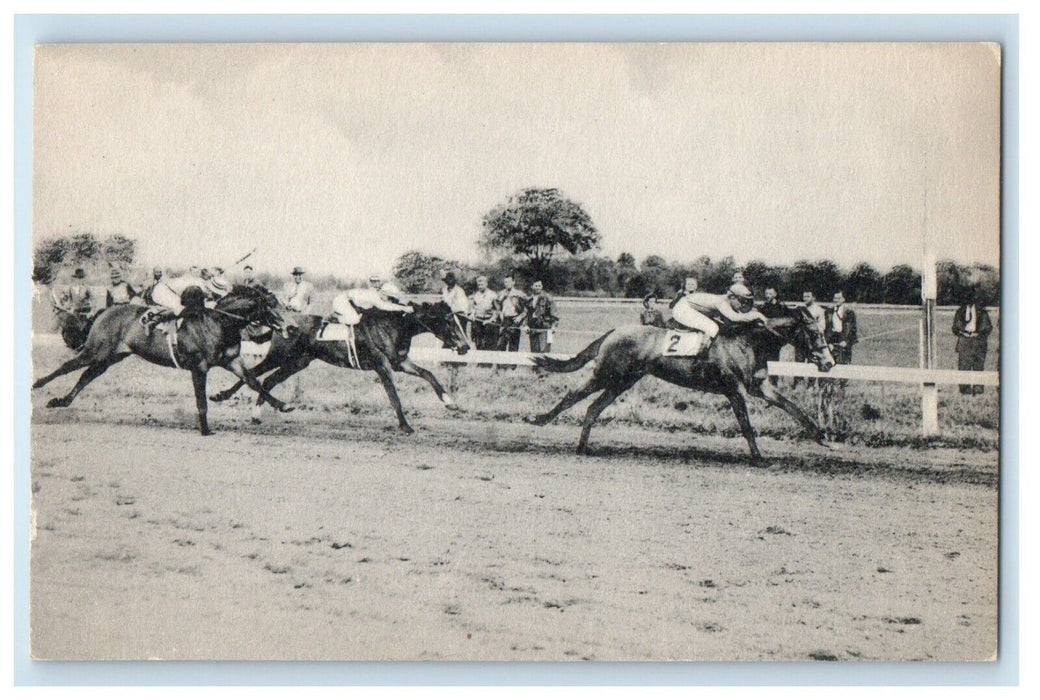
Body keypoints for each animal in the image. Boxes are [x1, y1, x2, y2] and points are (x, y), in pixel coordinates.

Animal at [33, 284, 293, 436]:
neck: (219, 323)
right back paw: (38, 385)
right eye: (269, 306)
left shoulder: (232, 361)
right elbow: (201, 401)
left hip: (111, 357)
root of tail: (106, 310)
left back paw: (60, 401)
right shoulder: (199, 368)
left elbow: (254, 382)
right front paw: (205, 430)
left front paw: (283, 405)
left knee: (86, 376)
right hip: (96, 350)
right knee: (68, 366)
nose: (289, 326)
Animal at [209, 299, 470, 430]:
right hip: (280, 356)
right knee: (252, 373)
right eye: (448, 321)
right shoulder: (382, 366)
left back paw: (258, 414)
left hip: (298, 362)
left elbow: (428, 374)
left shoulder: (400, 362)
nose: (466, 346)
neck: (394, 326)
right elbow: (394, 396)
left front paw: (450, 402)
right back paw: (220, 396)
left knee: (269, 379)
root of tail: (282, 324)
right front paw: (406, 426)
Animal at [528, 307, 836, 457]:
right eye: (813, 332)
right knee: (572, 395)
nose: (829, 363)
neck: (748, 343)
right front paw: (758, 456)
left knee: (593, 408)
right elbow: (746, 425)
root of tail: (613, 331)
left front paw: (823, 437)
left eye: (824, 331)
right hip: (606, 374)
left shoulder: (760, 386)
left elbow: (793, 407)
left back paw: (583, 447)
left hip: (622, 381)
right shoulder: (734, 389)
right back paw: (539, 420)